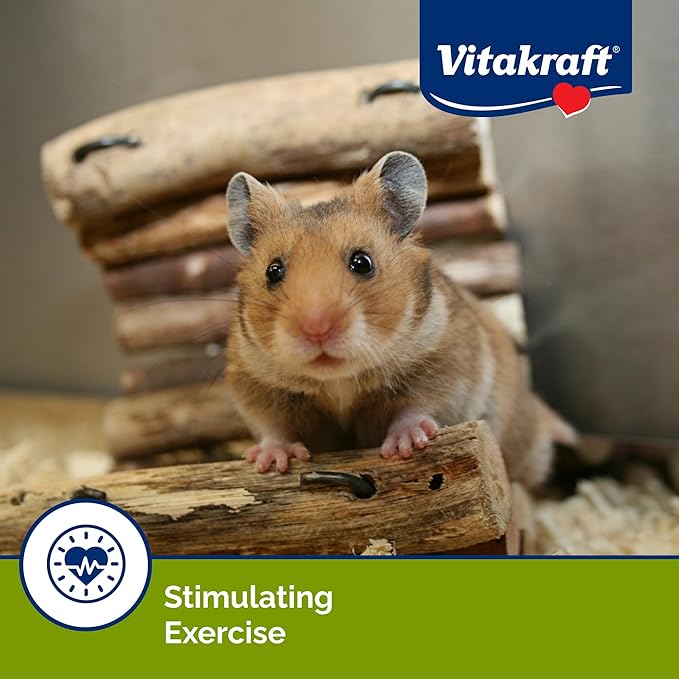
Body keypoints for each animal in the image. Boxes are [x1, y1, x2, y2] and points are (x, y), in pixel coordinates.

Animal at [224, 151, 576, 486]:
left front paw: (406, 446)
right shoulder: (255, 383)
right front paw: (270, 461)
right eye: (273, 271)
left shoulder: (445, 365)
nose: (316, 329)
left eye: (362, 262)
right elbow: (275, 427)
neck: (339, 382)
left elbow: (418, 406)